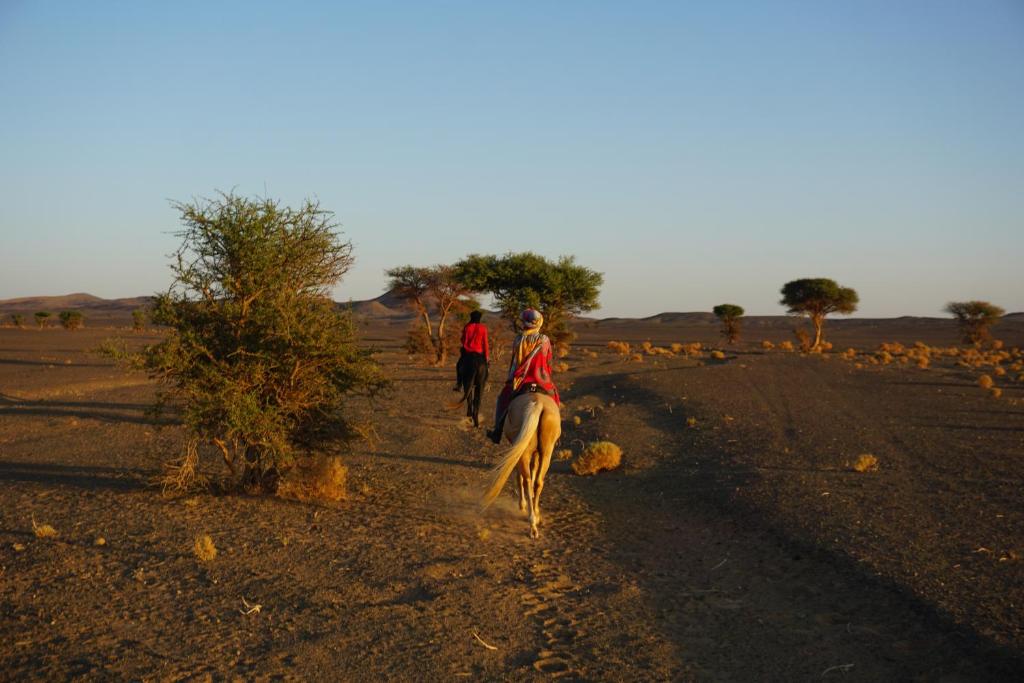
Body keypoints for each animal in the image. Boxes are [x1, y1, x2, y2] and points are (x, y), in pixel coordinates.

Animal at [479, 393, 561, 536]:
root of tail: (538, 404)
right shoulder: (534, 452)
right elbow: (532, 472)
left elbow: (520, 476)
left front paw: (523, 504)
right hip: (546, 452)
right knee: (537, 481)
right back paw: (535, 518)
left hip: (526, 451)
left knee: (527, 480)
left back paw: (532, 521)